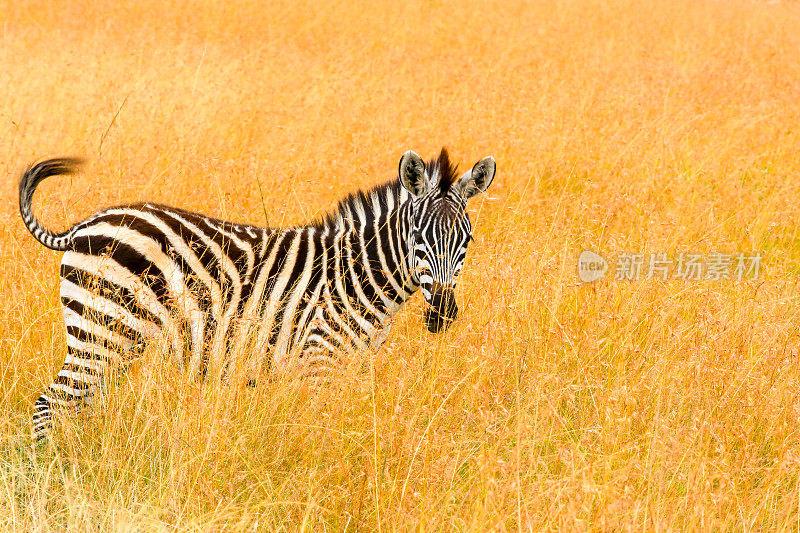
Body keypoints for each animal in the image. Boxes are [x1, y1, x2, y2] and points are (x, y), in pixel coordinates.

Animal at [20, 148, 494, 438]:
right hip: (101, 332)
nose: (443, 314)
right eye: (418, 237)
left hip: (112, 340)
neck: (356, 276)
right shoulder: (318, 360)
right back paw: (58, 472)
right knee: (49, 405)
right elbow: (321, 431)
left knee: (72, 406)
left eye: (466, 240)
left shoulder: (351, 366)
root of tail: (82, 227)